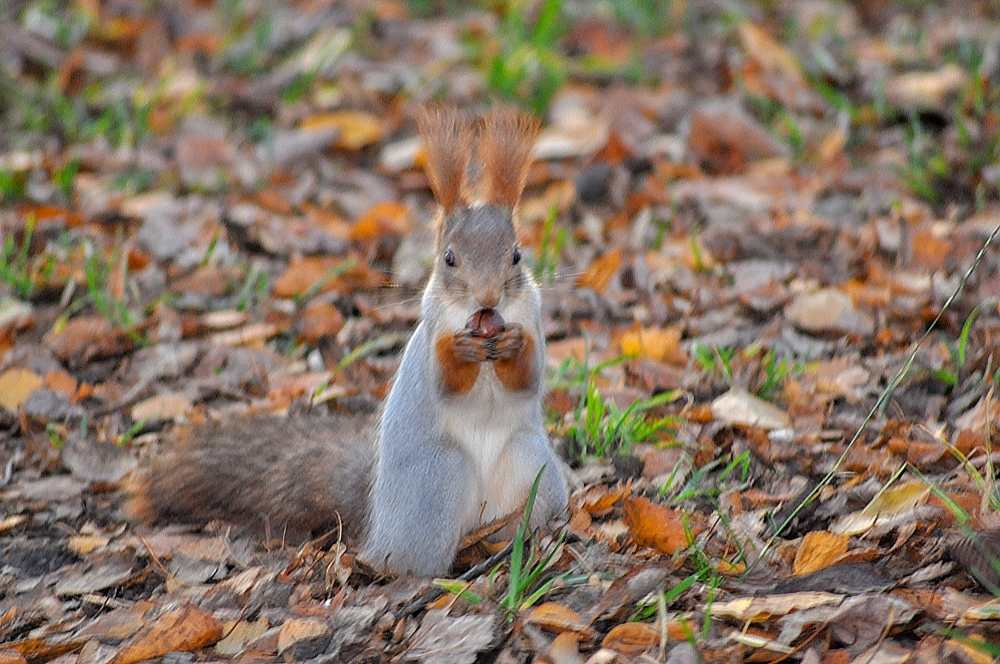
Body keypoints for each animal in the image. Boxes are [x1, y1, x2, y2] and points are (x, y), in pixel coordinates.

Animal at [126, 106, 569, 577]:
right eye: (449, 258)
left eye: (516, 255)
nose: (488, 299)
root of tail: (378, 516)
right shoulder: (433, 327)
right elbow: (445, 381)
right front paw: (461, 352)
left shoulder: (532, 315)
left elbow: (528, 376)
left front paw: (514, 345)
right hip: (436, 481)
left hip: (531, 465)